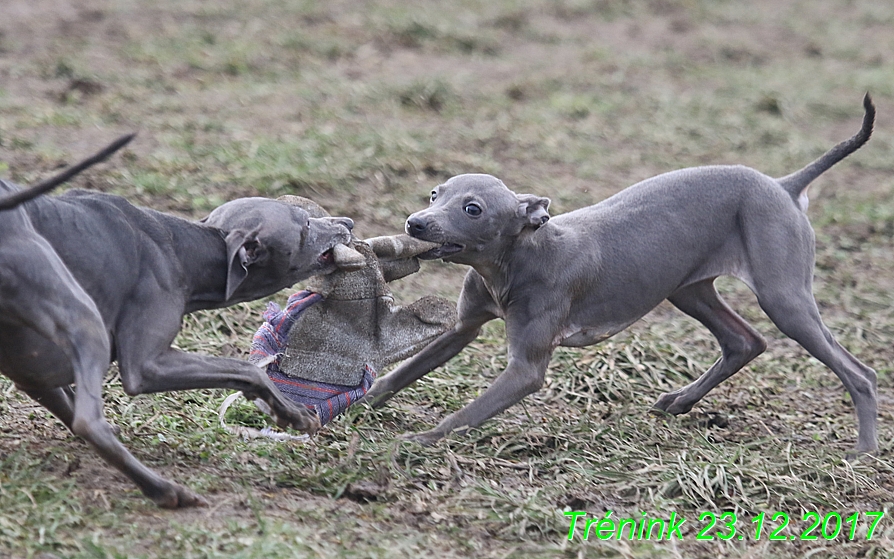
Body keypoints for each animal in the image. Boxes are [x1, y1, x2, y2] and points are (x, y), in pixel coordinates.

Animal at [0, 141, 356, 508]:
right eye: (306, 223)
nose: (349, 221)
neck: (185, 250)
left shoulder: (32, 373)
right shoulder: (146, 365)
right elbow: (248, 369)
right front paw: (294, 413)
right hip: (85, 321)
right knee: (89, 422)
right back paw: (167, 491)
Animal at [366, 96, 880, 456]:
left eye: (472, 209)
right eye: (436, 194)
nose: (415, 224)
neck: (519, 258)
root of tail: (783, 185)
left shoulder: (526, 370)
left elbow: (467, 414)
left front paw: (419, 441)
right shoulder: (463, 328)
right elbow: (401, 373)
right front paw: (359, 406)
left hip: (783, 299)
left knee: (861, 372)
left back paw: (865, 451)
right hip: (687, 290)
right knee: (744, 341)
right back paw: (680, 401)